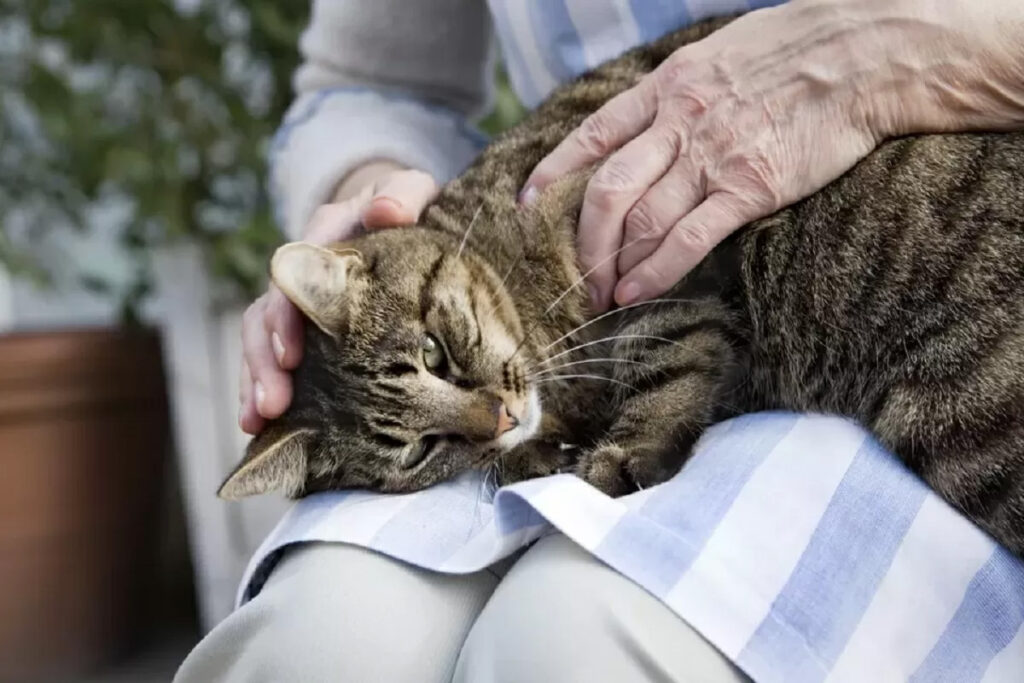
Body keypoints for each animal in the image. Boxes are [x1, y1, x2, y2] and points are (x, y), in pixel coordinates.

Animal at [220, 15, 1024, 557]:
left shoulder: (654, 248)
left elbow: (664, 358)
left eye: (434, 353)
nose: (500, 418)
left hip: (968, 420)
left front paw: (617, 453)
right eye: (419, 449)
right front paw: (533, 454)